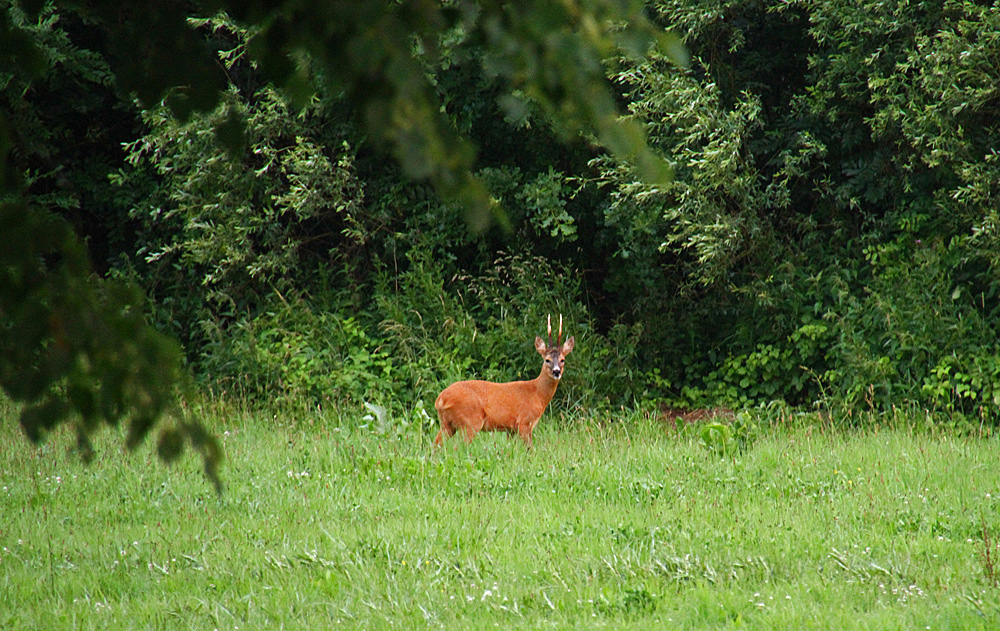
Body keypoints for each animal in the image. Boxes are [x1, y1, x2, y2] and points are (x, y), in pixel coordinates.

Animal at [434, 316, 576, 450]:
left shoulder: (511, 428)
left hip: (446, 423)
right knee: (458, 447)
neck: (537, 394)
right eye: (547, 360)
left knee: (436, 445)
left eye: (562, 360)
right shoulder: (524, 421)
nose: (556, 371)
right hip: (470, 421)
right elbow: (530, 449)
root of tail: (441, 399)